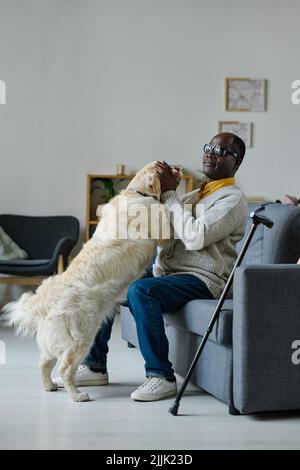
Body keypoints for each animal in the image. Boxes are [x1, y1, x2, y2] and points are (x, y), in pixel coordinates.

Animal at [2, 162, 180, 400]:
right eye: (168, 167)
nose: (180, 168)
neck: (137, 192)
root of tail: (46, 300)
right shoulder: (163, 231)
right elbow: (168, 228)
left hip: (53, 342)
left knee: (44, 364)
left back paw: (50, 386)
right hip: (82, 338)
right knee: (65, 368)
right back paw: (77, 395)